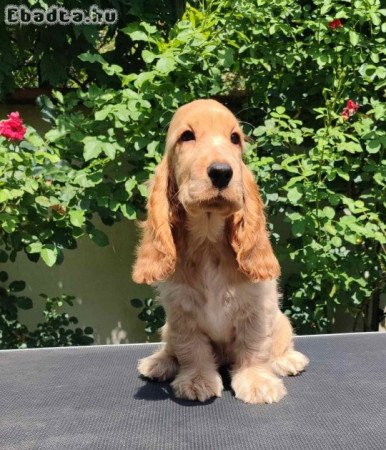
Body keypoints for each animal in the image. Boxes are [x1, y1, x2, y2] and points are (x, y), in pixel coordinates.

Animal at [132, 99, 308, 404]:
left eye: (235, 138)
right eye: (187, 136)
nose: (222, 172)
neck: (208, 241)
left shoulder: (256, 307)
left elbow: (254, 346)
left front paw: (257, 381)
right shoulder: (181, 311)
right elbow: (191, 347)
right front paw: (197, 380)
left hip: (282, 322)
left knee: (279, 344)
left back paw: (288, 359)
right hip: (167, 328)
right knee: (170, 347)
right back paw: (158, 362)